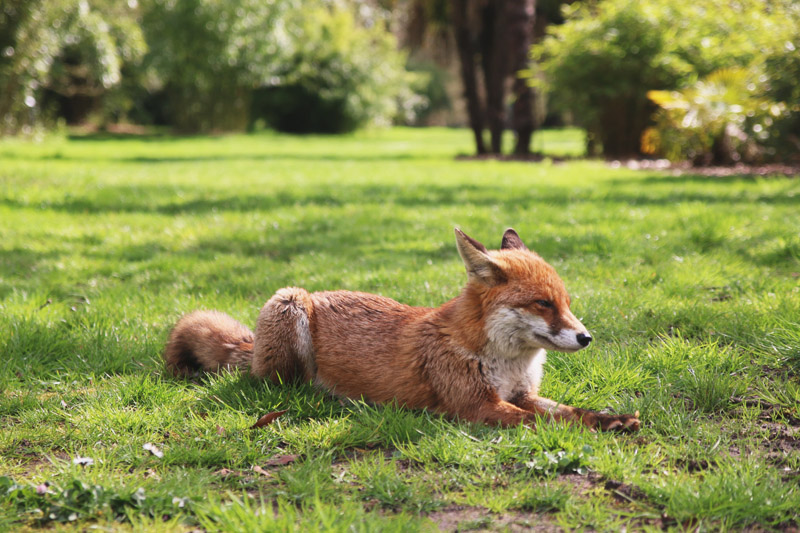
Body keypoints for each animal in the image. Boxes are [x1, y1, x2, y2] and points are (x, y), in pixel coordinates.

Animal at [166, 227, 640, 430]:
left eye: (566, 303)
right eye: (543, 304)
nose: (586, 338)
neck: (505, 363)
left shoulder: (522, 394)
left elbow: (570, 411)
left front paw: (612, 419)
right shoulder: (477, 407)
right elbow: (550, 423)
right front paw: (598, 430)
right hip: (289, 304)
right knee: (280, 385)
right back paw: (329, 394)